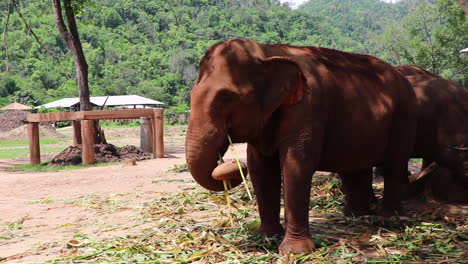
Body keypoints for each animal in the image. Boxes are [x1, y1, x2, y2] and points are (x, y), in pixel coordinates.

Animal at [185, 38, 414, 254]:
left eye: (226, 97)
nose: (227, 168)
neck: (267, 51)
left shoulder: (308, 107)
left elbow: (296, 165)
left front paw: (294, 251)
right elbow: (260, 168)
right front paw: (265, 238)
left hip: (403, 116)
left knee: (394, 163)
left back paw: (388, 218)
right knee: (354, 167)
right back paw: (356, 215)